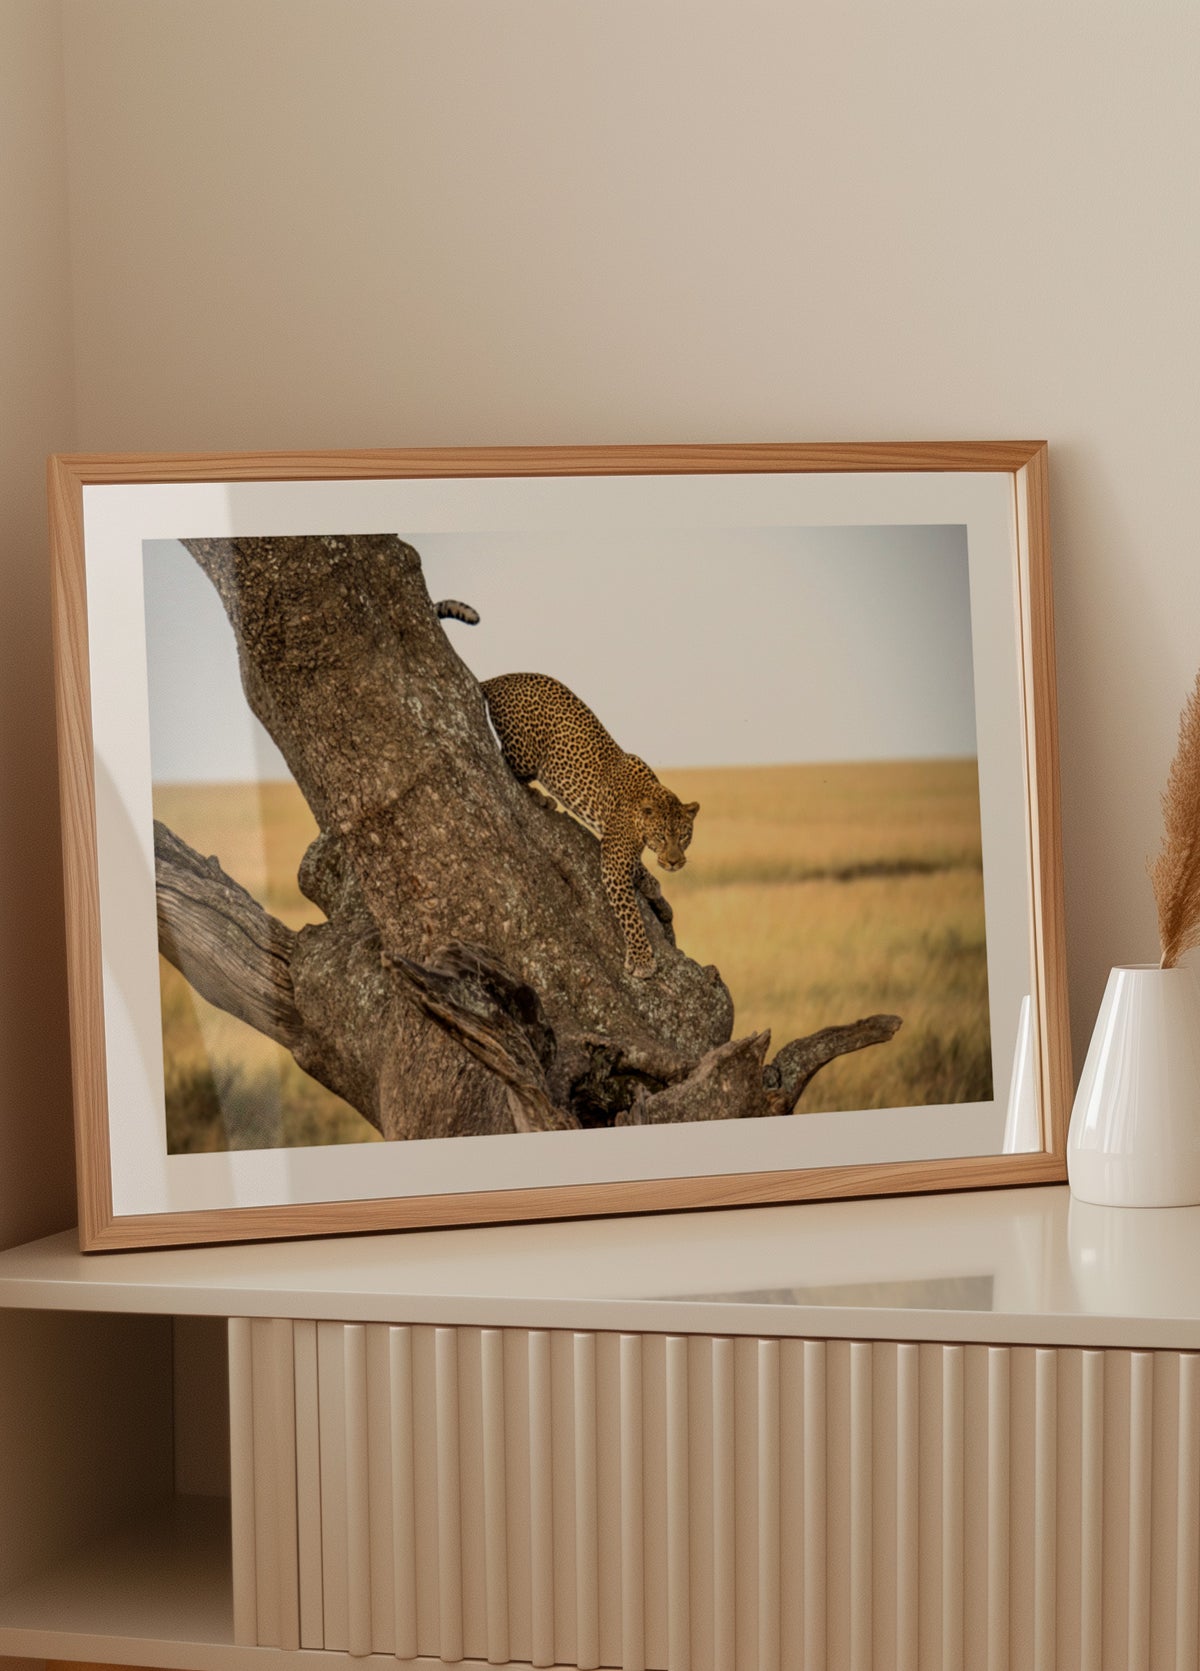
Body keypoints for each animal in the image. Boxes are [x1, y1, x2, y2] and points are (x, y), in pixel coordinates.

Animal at [480, 671, 699, 979]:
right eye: (662, 837)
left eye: (683, 837)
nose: (674, 862)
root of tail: (499, 678)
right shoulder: (614, 861)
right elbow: (631, 915)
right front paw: (642, 960)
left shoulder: (616, 846)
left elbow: (638, 866)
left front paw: (651, 885)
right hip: (525, 752)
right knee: (508, 766)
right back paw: (540, 797)